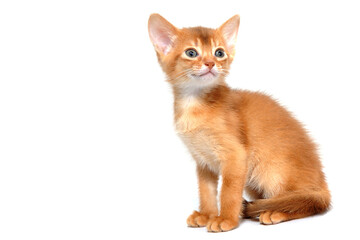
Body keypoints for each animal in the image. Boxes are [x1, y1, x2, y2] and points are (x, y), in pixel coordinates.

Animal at [148, 14, 330, 232]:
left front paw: (226, 219)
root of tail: (322, 182)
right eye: (191, 53)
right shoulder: (203, 161)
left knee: (307, 200)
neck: (195, 104)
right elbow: (206, 192)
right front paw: (206, 215)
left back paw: (274, 212)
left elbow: (228, 192)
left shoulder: (236, 156)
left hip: (269, 171)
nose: (210, 63)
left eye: (219, 53)